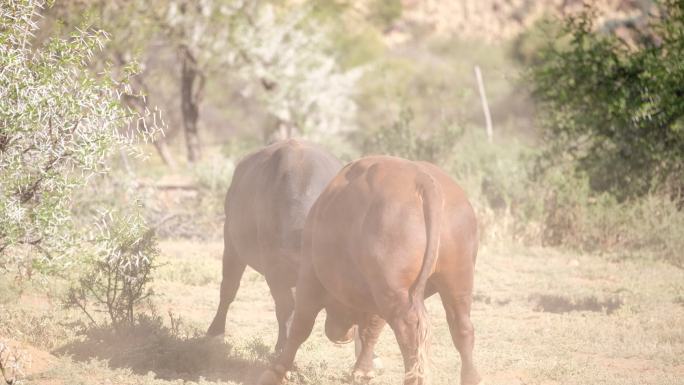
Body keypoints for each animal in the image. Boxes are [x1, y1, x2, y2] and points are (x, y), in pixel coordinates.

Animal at [204, 139, 340, 352]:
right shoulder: (274, 269)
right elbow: (286, 307)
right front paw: (283, 347)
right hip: (231, 245)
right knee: (228, 289)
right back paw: (215, 332)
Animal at [256, 155, 480, 384]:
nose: (339, 335)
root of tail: (423, 181)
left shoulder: (309, 278)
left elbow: (300, 326)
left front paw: (276, 371)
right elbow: (371, 330)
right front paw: (363, 370)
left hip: (395, 293)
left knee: (410, 333)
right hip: (456, 282)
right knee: (462, 327)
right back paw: (471, 377)